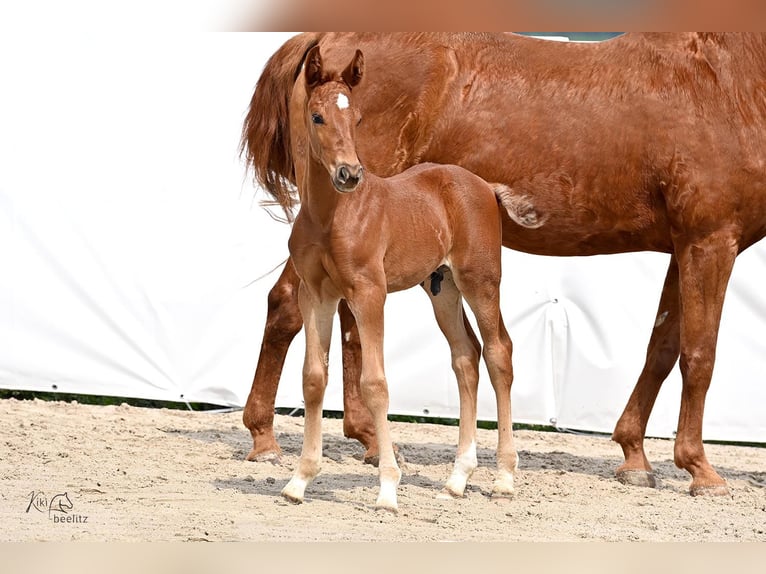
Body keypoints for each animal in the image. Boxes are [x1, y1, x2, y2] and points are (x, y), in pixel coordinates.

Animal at [282, 45, 544, 512]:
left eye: (358, 118)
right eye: (317, 116)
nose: (349, 174)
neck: (331, 216)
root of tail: (484, 186)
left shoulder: (369, 293)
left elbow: (374, 383)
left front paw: (388, 488)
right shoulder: (316, 295)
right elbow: (314, 378)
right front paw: (299, 480)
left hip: (480, 281)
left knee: (499, 352)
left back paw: (504, 477)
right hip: (443, 288)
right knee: (466, 355)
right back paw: (458, 477)